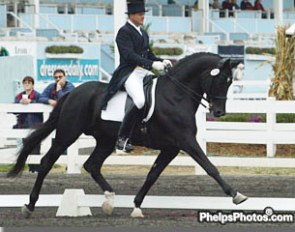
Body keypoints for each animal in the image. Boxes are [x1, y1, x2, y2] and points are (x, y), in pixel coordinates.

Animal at [7, 52, 247, 218]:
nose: (219, 112)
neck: (176, 95)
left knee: (92, 165)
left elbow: (152, 174)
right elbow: (210, 167)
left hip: (105, 141)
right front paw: (236, 195)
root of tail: (72, 93)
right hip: (68, 133)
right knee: (47, 162)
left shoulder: (171, 147)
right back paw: (29, 206)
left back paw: (110, 200)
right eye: (221, 81)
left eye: (230, 82)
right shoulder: (186, 141)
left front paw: (137, 206)